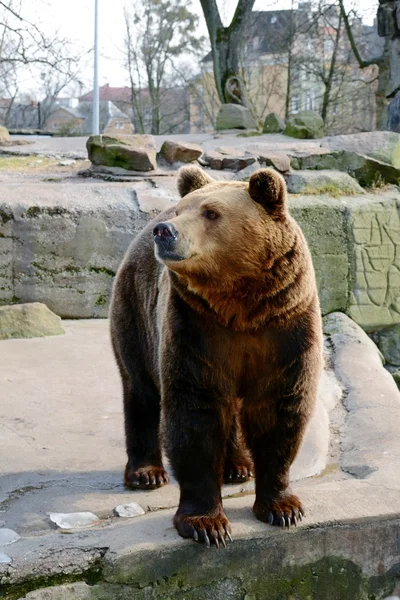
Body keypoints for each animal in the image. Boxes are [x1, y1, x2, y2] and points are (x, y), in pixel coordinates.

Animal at [109, 165, 322, 548]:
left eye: (211, 213)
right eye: (182, 210)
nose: (165, 231)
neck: (240, 305)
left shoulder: (286, 326)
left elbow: (279, 408)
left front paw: (283, 507)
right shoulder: (195, 328)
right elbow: (196, 409)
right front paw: (206, 524)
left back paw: (238, 465)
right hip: (136, 310)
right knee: (140, 388)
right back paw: (146, 472)